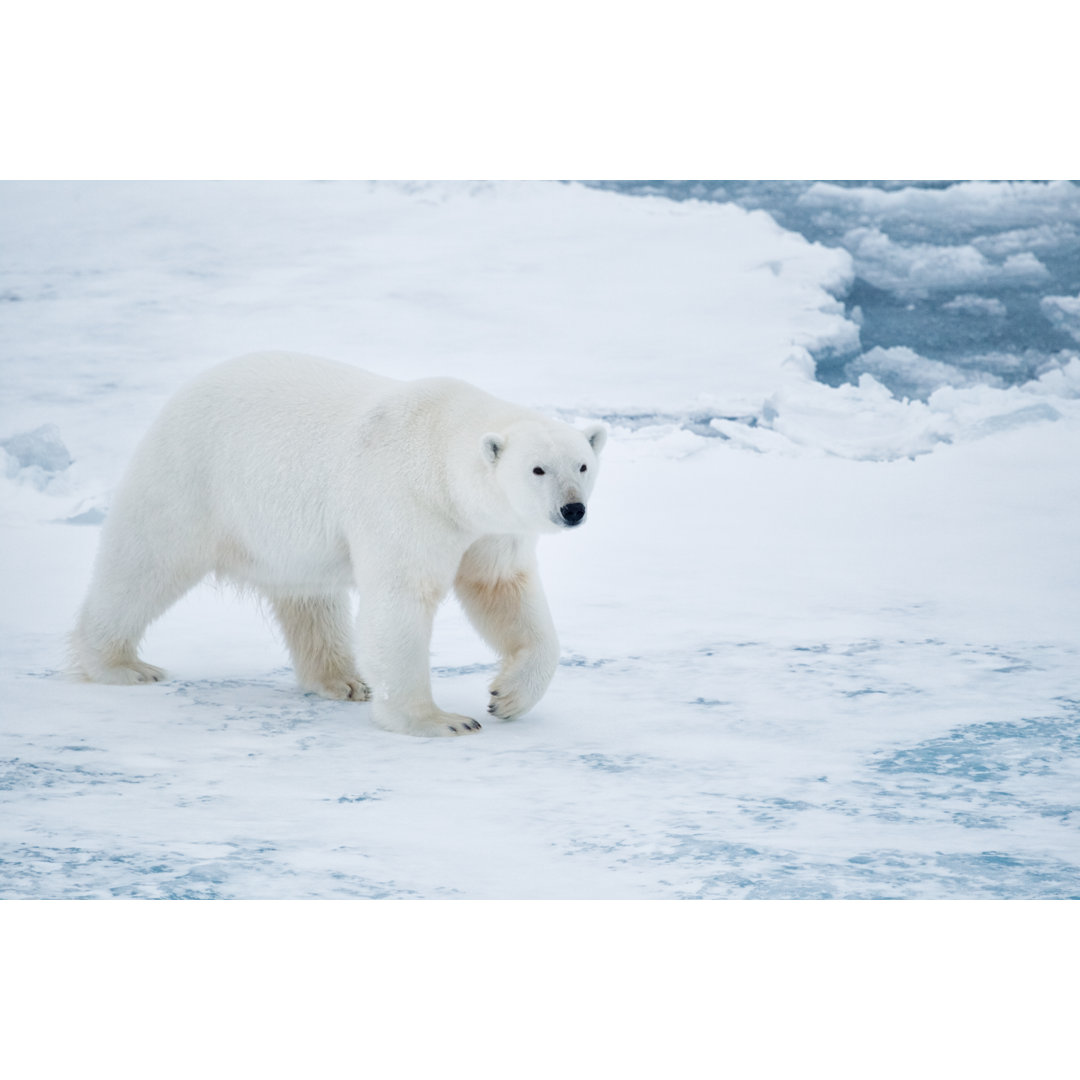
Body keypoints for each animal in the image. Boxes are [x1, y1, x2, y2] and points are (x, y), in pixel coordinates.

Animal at [71, 349, 604, 738]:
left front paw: (508, 697)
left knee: (310, 599)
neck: (442, 457)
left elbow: (502, 590)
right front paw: (439, 720)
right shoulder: (407, 502)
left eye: (582, 464)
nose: (572, 510)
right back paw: (121, 665)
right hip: (192, 478)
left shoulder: (490, 529)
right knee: (144, 565)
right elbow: (401, 601)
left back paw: (344, 681)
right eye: (537, 469)